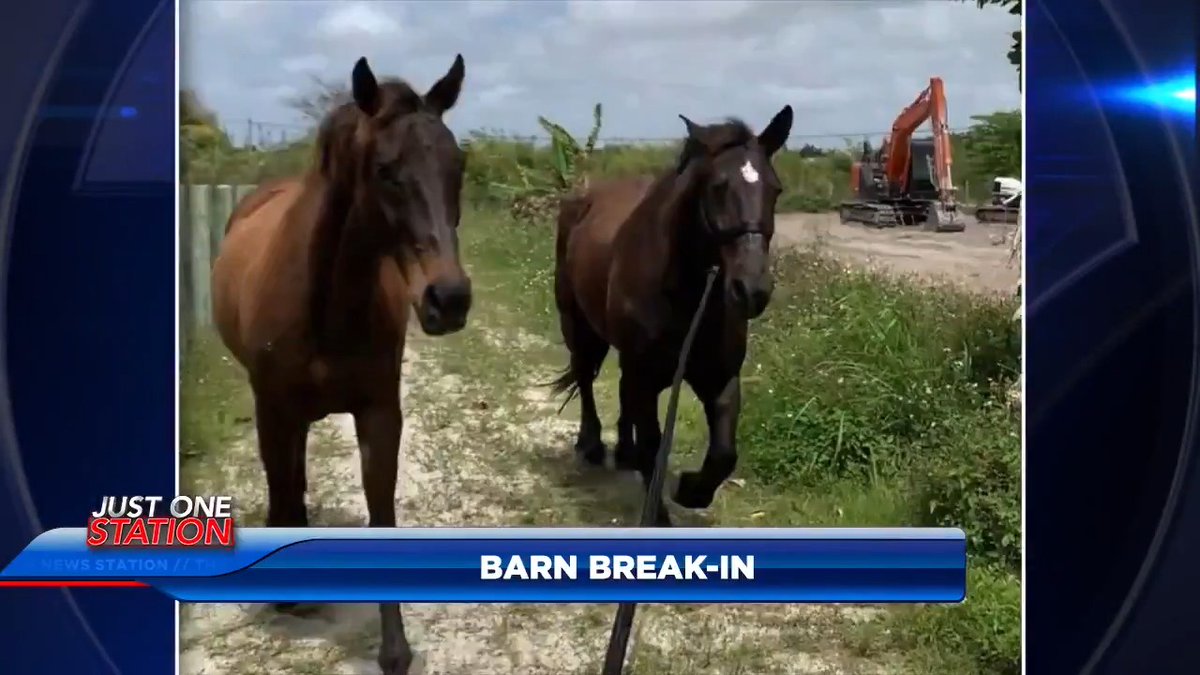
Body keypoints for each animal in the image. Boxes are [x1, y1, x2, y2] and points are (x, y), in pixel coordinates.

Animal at [210, 54, 470, 675]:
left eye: (459, 167)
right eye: (385, 170)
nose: (448, 300)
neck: (325, 302)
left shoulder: (379, 412)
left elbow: (380, 505)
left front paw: (395, 650)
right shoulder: (272, 409)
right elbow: (282, 483)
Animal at [550, 106, 794, 526]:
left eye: (775, 189)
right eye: (717, 187)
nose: (752, 290)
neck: (685, 294)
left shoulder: (720, 377)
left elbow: (723, 454)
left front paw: (690, 489)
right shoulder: (646, 376)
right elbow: (653, 444)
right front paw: (659, 513)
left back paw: (623, 452)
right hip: (577, 324)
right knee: (584, 376)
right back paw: (592, 445)